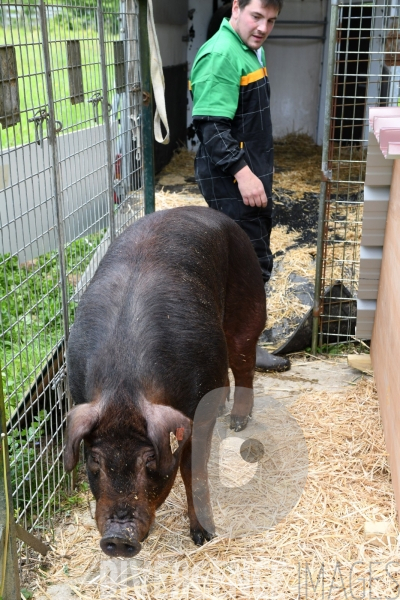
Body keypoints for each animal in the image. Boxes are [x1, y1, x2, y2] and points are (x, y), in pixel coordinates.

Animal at [65, 206, 266, 556]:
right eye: (94, 462)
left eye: (149, 462)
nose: (118, 537)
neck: (125, 386)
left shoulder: (199, 413)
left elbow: (193, 471)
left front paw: (203, 536)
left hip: (249, 298)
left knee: (244, 362)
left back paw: (238, 422)